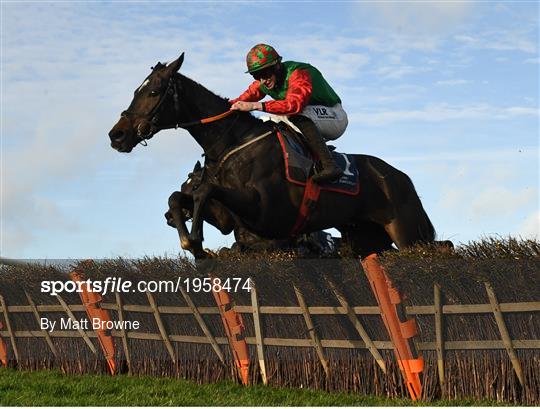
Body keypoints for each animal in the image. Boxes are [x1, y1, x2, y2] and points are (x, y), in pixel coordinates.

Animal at [108, 53, 438, 258]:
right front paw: (189, 239)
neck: (233, 142)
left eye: (154, 92)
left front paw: (195, 240)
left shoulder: (267, 213)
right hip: (365, 239)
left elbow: (205, 191)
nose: (117, 135)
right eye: (136, 91)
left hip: (409, 233)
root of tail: (399, 176)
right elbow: (179, 196)